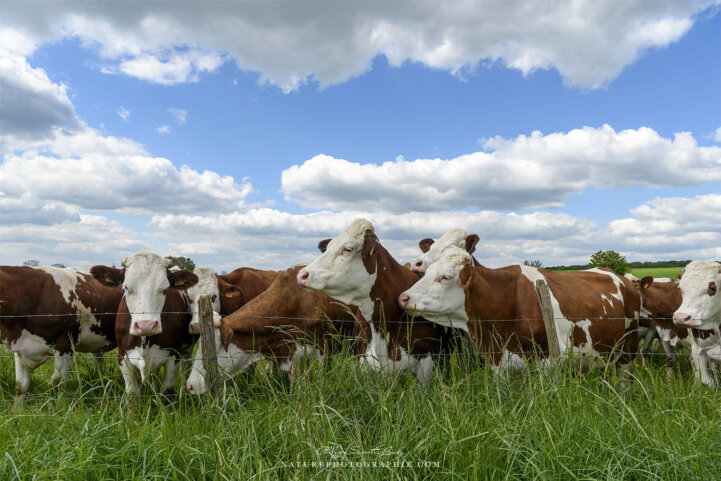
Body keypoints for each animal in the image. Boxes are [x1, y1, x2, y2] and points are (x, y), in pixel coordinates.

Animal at [0, 265, 123, 403]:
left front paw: (59, 406)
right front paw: (18, 408)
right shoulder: (21, 345)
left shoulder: (65, 345)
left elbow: (57, 383)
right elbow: (20, 386)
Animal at [91, 252, 199, 395]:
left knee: (186, 366)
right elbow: (132, 393)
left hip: (187, 348)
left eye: (165, 289)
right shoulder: (123, 355)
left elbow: (166, 392)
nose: (146, 326)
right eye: (126, 288)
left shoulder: (174, 355)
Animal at [399, 247, 640, 380]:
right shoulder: (498, 361)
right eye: (426, 273)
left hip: (627, 351)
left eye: (446, 277)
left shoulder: (548, 359)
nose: (403, 297)